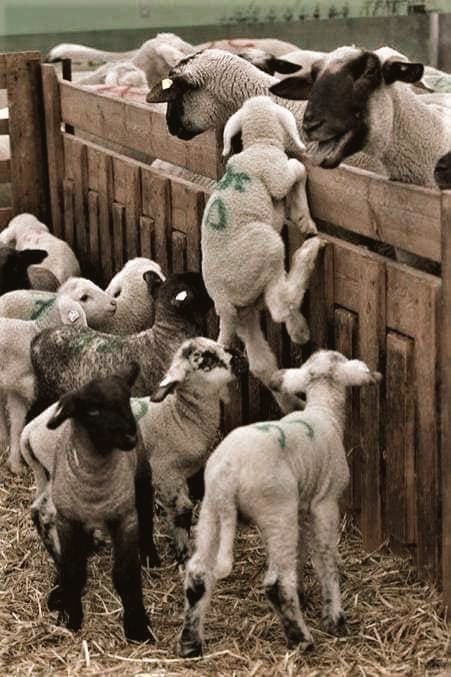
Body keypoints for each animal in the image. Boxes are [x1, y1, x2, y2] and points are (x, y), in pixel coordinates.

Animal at [22, 336, 247, 565]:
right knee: (47, 512)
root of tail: (30, 430)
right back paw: (61, 556)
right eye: (206, 360)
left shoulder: (178, 475)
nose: (240, 357)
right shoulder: (165, 473)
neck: (180, 416)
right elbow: (183, 511)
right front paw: (183, 554)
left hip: (50, 473)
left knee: (39, 508)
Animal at [28, 364, 157, 642]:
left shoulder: (125, 519)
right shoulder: (68, 521)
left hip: (141, 473)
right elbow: (73, 570)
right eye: (93, 410)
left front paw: (137, 627)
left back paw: (150, 554)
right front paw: (69, 617)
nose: (129, 433)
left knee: (146, 507)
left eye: (126, 399)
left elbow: (126, 574)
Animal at [178, 350, 382, 657]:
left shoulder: (301, 505)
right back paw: (301, 639)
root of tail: (228, 473)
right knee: (276, 583)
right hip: (275, 508)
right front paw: (334, 616)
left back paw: (191, 643)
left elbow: (301, 550)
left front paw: (304, 594)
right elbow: (325, 559)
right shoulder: (325, 503)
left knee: (198, 574)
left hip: (212, 510)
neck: (323, 410)